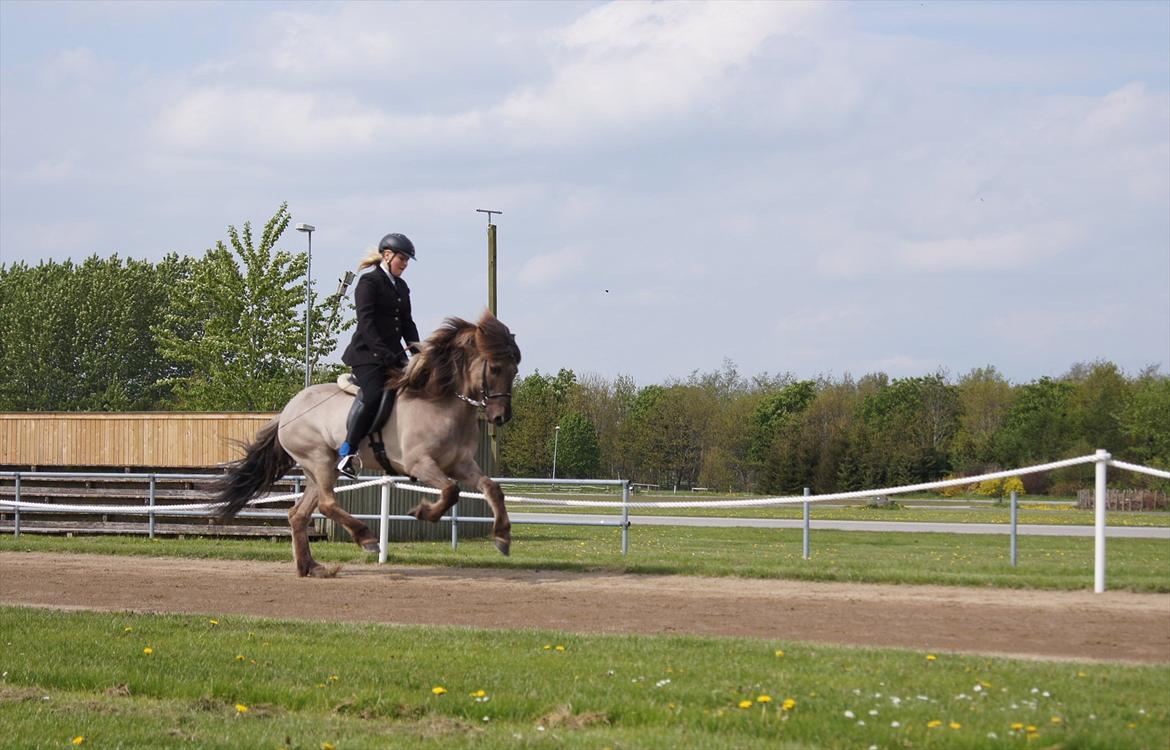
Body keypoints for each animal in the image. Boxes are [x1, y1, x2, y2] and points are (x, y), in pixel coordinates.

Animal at [211, 313, 521, 575]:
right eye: (495, 368)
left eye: (515, 370)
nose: (501, 417)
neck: (440, 402)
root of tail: (287, 412)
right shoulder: (419, 464)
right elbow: (450, 491)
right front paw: (422, 512)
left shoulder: (461, 464)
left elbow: (491, 488)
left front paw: (503, 537)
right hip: (320, 460)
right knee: (326, 504)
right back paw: (366, 538)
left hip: (317, 470)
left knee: (299, 514)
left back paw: (311, 567)